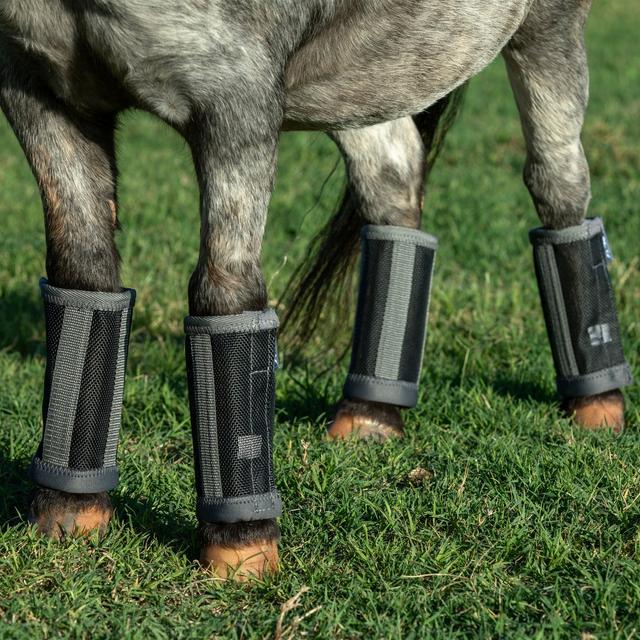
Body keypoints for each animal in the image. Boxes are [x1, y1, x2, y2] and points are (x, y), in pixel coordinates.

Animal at [0, 0, 632, 580]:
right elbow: (83, 271)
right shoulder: (41, 91)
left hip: (545, 32)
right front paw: (70, 513)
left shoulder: (234, 99)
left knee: (558, 183)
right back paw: (369, 415)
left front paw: (242, 551)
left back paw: (598, 405)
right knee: (394, 181)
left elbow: (225, 288)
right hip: (372, 81)